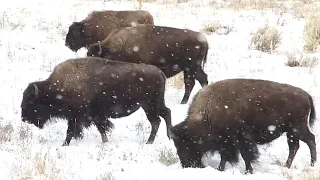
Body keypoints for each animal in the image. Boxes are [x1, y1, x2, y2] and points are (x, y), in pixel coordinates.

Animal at [21, 57, 171, 146]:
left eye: (30, 103)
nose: (24, 119)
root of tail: (159, 72)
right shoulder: (86, 116)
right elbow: (96, 128)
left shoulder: (78, 115)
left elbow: (74, 130)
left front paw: (65, 144)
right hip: (158, 104)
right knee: (166, 113)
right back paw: (169, 136)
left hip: (149, 106)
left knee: (156, 121)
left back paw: (149, 142)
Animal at [171, 79, 316, 174]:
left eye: (186, 144)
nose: (186, 165)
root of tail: (307, 95)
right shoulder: (227, 142)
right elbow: (226, 156)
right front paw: (221, 169)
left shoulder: (240, 139)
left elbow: (245, 155)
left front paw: (248, 171)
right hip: (291, 132)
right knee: (294, 146)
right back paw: (287, 166)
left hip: (298, 129)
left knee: (310, 140)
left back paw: (312, 164)